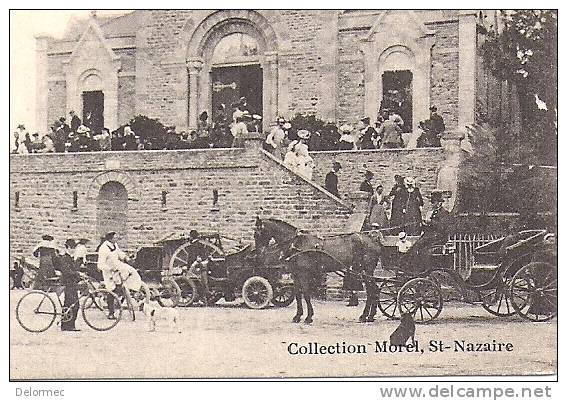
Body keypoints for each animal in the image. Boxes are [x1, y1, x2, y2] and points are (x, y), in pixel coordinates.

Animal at [255, 217, 384, 324]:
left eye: (257, 233)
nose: (258, 253)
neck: (296, 244)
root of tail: (374, 242)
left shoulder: (303, 274)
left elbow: (306, 294)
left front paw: (308, 317)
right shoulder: (295, 274)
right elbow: (297, 294)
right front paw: (297, 316)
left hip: (367, 270)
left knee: (372, 291)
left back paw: (366, 316)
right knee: (373, 291)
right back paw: (369, 316)